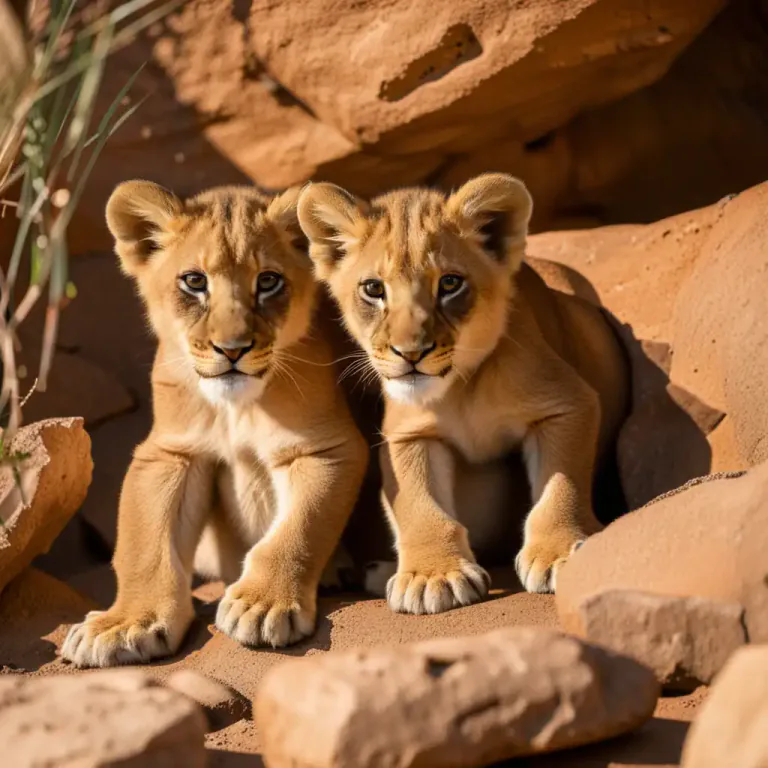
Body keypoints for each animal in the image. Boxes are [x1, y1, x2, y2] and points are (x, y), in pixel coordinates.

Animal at [61, 182, 368, 667]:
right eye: (194, 281)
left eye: (268, 281)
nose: (232, 348)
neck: (233, 409)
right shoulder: (171, 452)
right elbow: (144, 545)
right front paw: (126, 624)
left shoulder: (324, 447)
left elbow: (298, 529)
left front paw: (262, 605)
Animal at [297, 173, 628, 613]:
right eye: (373, 289)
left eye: (450, 283)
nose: (411, 353)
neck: (460, 390)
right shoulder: (409, 434)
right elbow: (418, 504)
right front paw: (430, 576)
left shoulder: (566, 403)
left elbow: (562, 484)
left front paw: (558, 552)